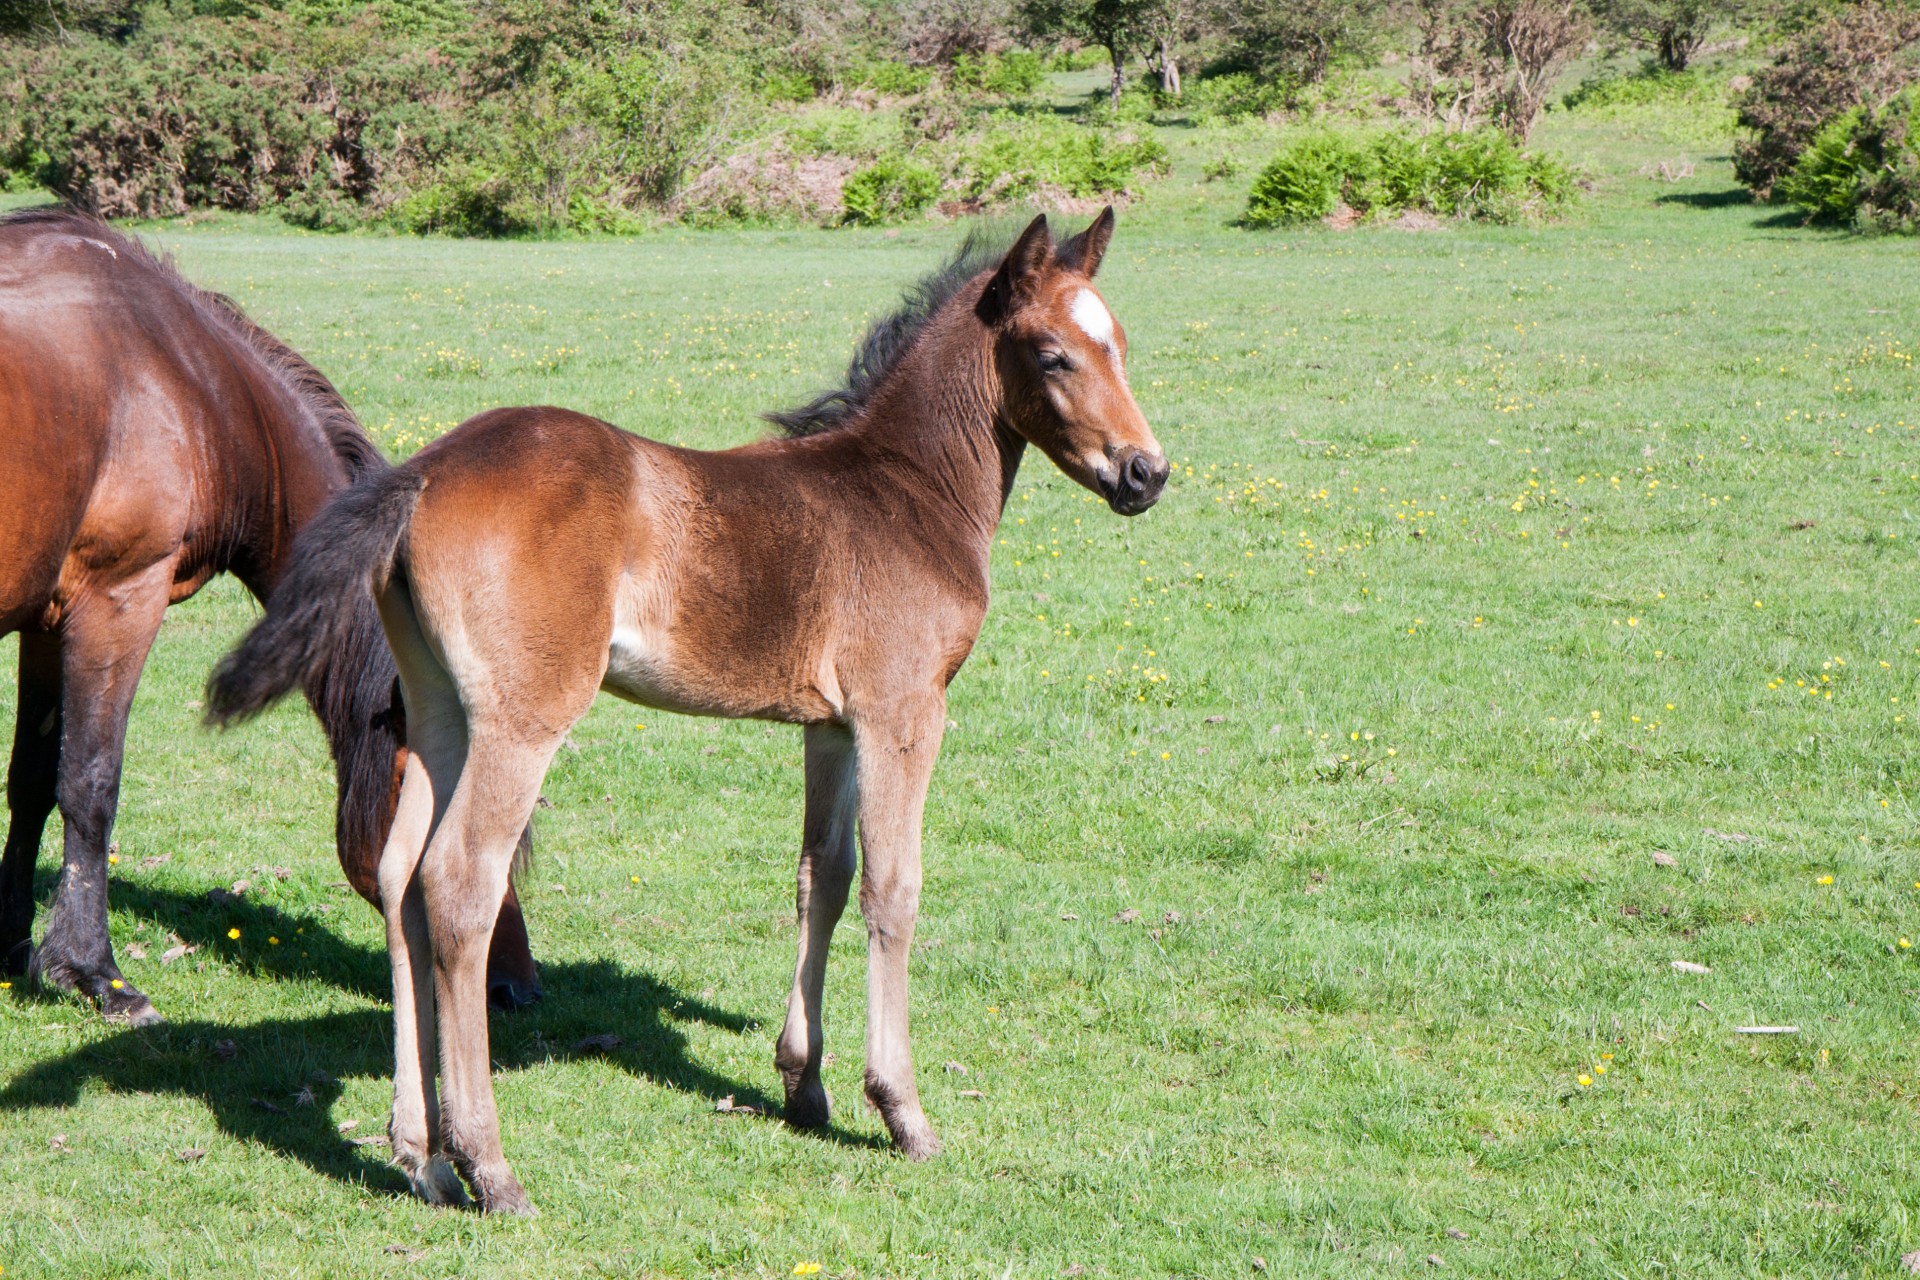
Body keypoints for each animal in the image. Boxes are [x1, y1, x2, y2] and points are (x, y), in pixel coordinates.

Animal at [0, 210, 541, 1028]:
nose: (514, 986)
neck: (180, 379)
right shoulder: (118, 598)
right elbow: (89, 783)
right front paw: (94, 973)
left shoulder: (47, 614)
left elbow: (31, 778)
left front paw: (5, 947)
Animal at [206, 208, 1167, 1212]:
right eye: (1054, 355)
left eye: (1120, 345)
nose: (1147, 472)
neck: (904, 491)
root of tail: (425, 474)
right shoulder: (902, 713)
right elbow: (891, 890)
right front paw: (902, 1111)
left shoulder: (830, 727)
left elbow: (821, 878)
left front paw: (804, 1086)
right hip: (522, 720)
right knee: (461, 883)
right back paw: (489, 1166)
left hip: (440, 715)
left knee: (399, 878)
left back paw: (420, 1156)